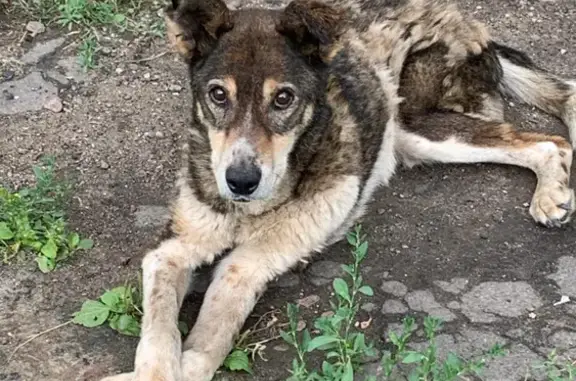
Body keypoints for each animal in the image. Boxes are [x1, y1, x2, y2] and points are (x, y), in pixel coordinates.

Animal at [100, 0, 576, 380]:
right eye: (218, 95)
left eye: (284, 99)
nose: (240, 181)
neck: (247, 211)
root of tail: (459, 13)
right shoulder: (171, 251)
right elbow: (158, 336)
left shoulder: (247, 267)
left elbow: (203, 348)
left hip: (417, 125)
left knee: (549, 142)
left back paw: (550, 194)